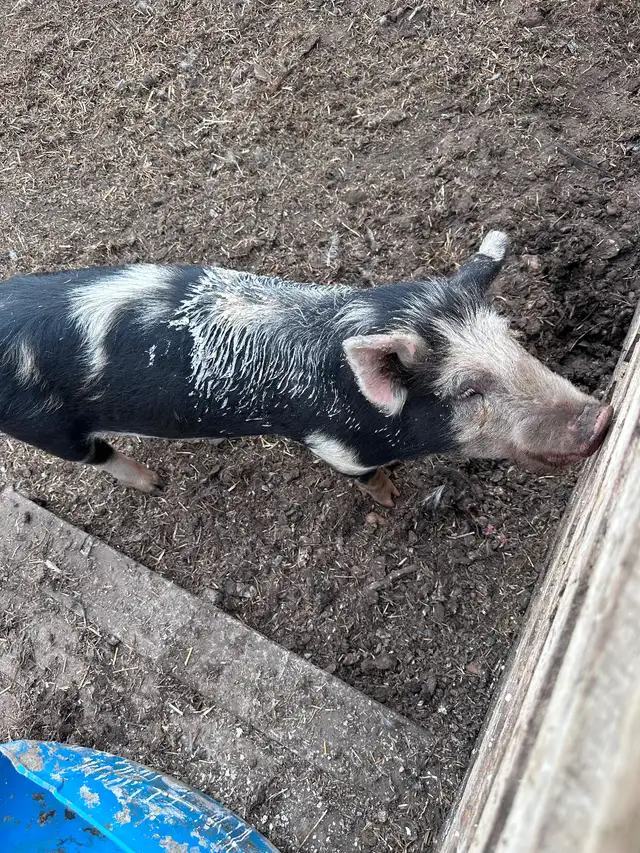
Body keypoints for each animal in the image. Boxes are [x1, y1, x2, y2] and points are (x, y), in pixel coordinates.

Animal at [0, 231, 612, 507]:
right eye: (467, 390)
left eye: (514, 340)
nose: (601, 420)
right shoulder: (334, 447)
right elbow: (369, 478)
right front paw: (391, 502)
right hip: (47, 430)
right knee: (98, 454)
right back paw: (155, 484)